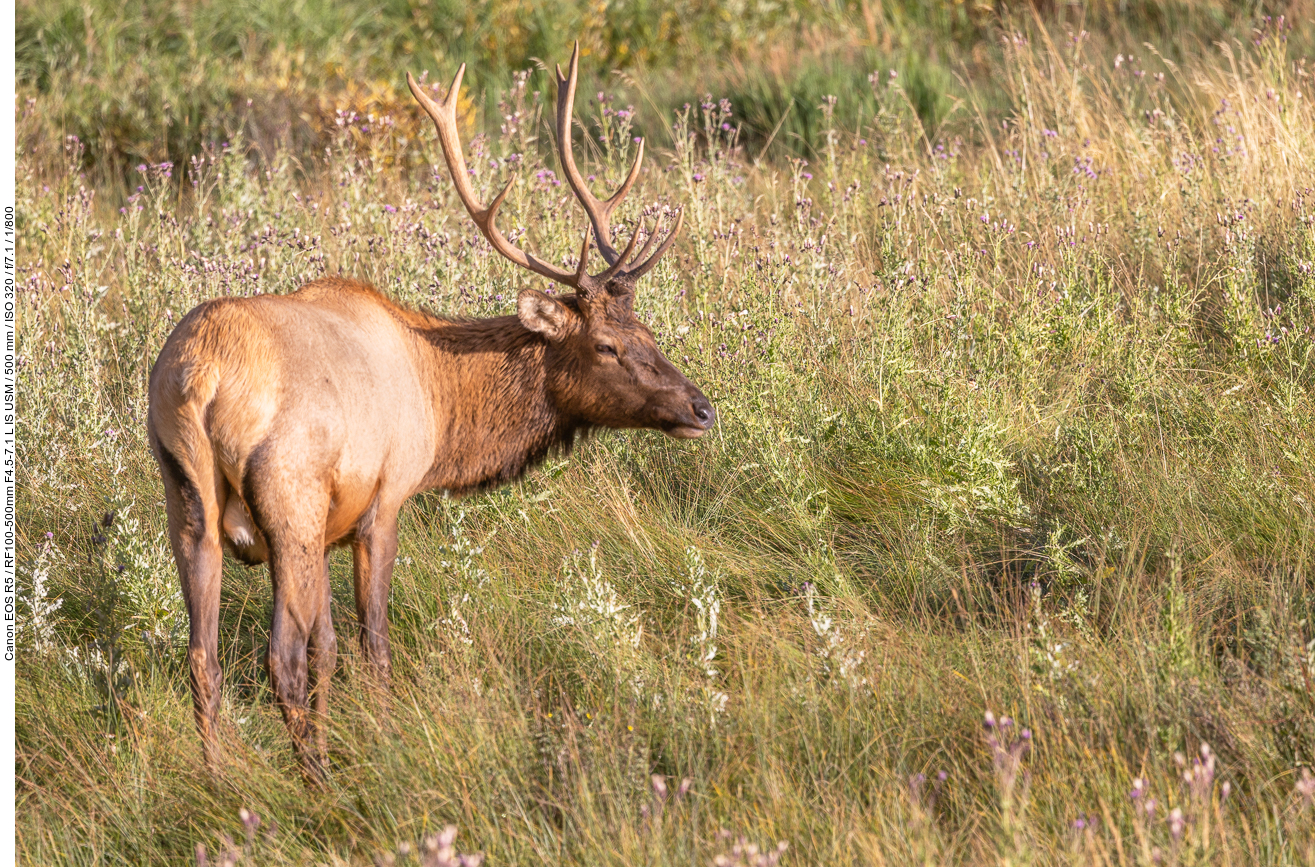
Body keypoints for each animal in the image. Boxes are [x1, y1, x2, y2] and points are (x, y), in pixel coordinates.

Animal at [147, 44, 715, 784]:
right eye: (606, 345)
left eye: (647, 331)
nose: (701, 407)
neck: (444, 409)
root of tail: (198, 377)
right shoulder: (383, 500)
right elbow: (370, 645)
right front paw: (386, 741)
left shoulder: (332, 524)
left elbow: (331, 648)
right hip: (288, 495)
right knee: (279, 658)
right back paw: (317, 781)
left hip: (186, 499)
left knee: (203, 658)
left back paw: (219, 777)